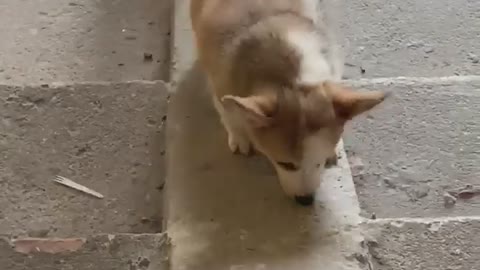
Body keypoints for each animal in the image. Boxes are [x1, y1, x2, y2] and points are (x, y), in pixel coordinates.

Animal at [189, 0, 388, 206]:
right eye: (285, 164)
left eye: (320, 162)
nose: (306, 201)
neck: (291, 77)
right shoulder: (220, 85)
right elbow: (229, 113)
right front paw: (240, 136)